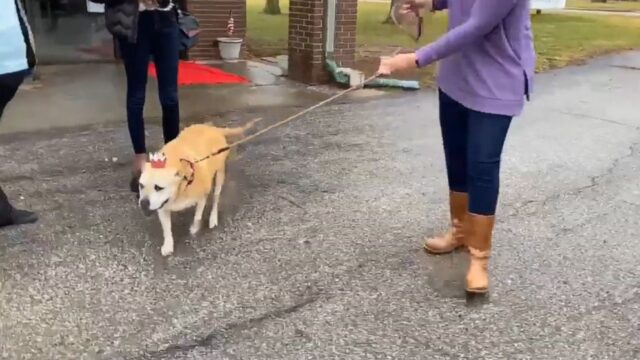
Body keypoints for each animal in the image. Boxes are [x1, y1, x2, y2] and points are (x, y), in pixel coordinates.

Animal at [139, 119, 258, 255]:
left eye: (158, 187)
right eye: (141, 185)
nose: (143, 202)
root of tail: (214, 129)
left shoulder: (201, 197)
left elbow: (197, 216)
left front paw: (194, 228)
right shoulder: (162, 206)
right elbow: (167, 229)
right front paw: (168, 245)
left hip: (219, 175)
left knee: (216, 198)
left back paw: (213, 218)